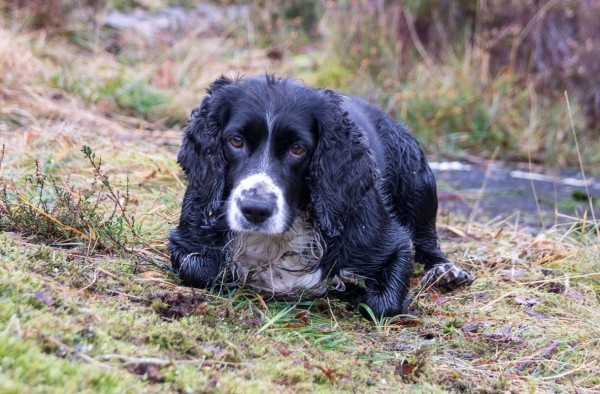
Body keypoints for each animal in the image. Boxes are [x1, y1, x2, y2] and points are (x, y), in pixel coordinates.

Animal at [168, 74, 474, 318]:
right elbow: (199, 268)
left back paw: (445, 271)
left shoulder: (391, 244)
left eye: (298, 149)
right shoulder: (187, 239)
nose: (255, 209)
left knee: (427, 241)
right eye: (235, 141)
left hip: (416, 180)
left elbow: (383, 302)